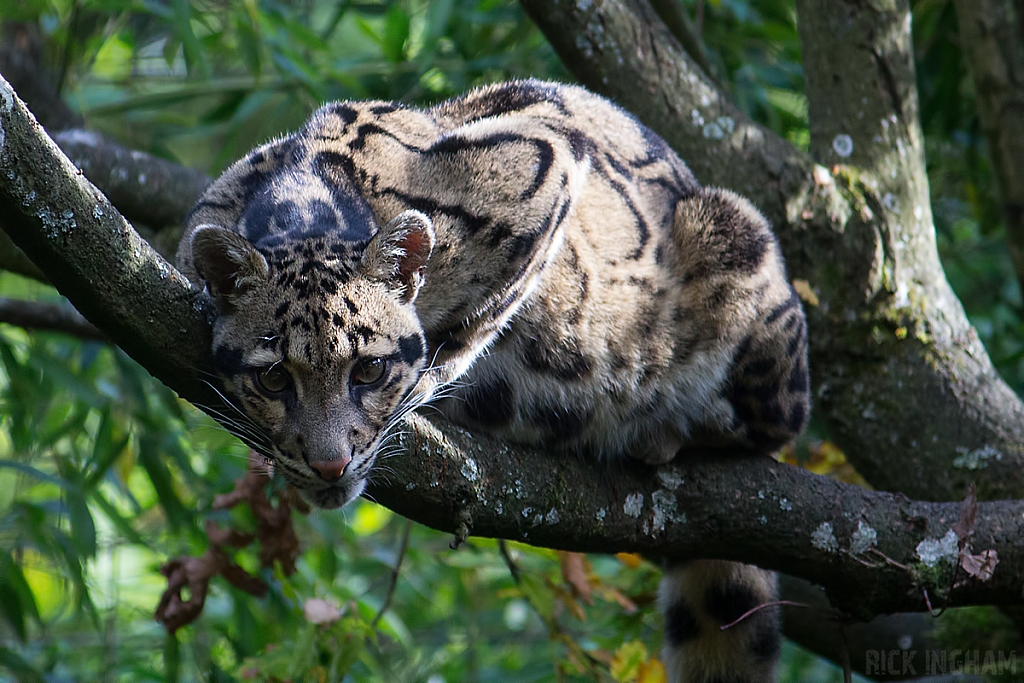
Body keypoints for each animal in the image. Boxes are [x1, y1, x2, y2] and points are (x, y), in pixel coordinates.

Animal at [180, 80, 811, 683]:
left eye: (370, 370)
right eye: (273, 379)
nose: (330, 464)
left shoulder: (545, 161)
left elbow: (482, 319)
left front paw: (430, 382)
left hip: (738, 244)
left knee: (783, 419)